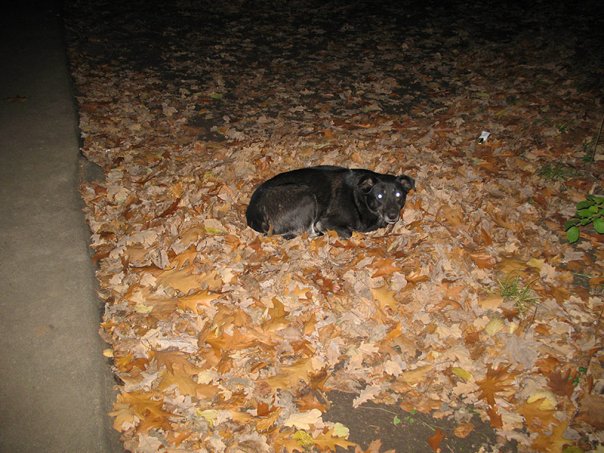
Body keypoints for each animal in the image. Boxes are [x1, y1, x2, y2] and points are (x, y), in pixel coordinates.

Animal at [246, 166, 415, 239]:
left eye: (398, 194)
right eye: (379, 195)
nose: (393, 215)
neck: (359, 199)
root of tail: (252, 213)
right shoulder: (326, 220)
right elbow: (348, 232)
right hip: (307, 195)